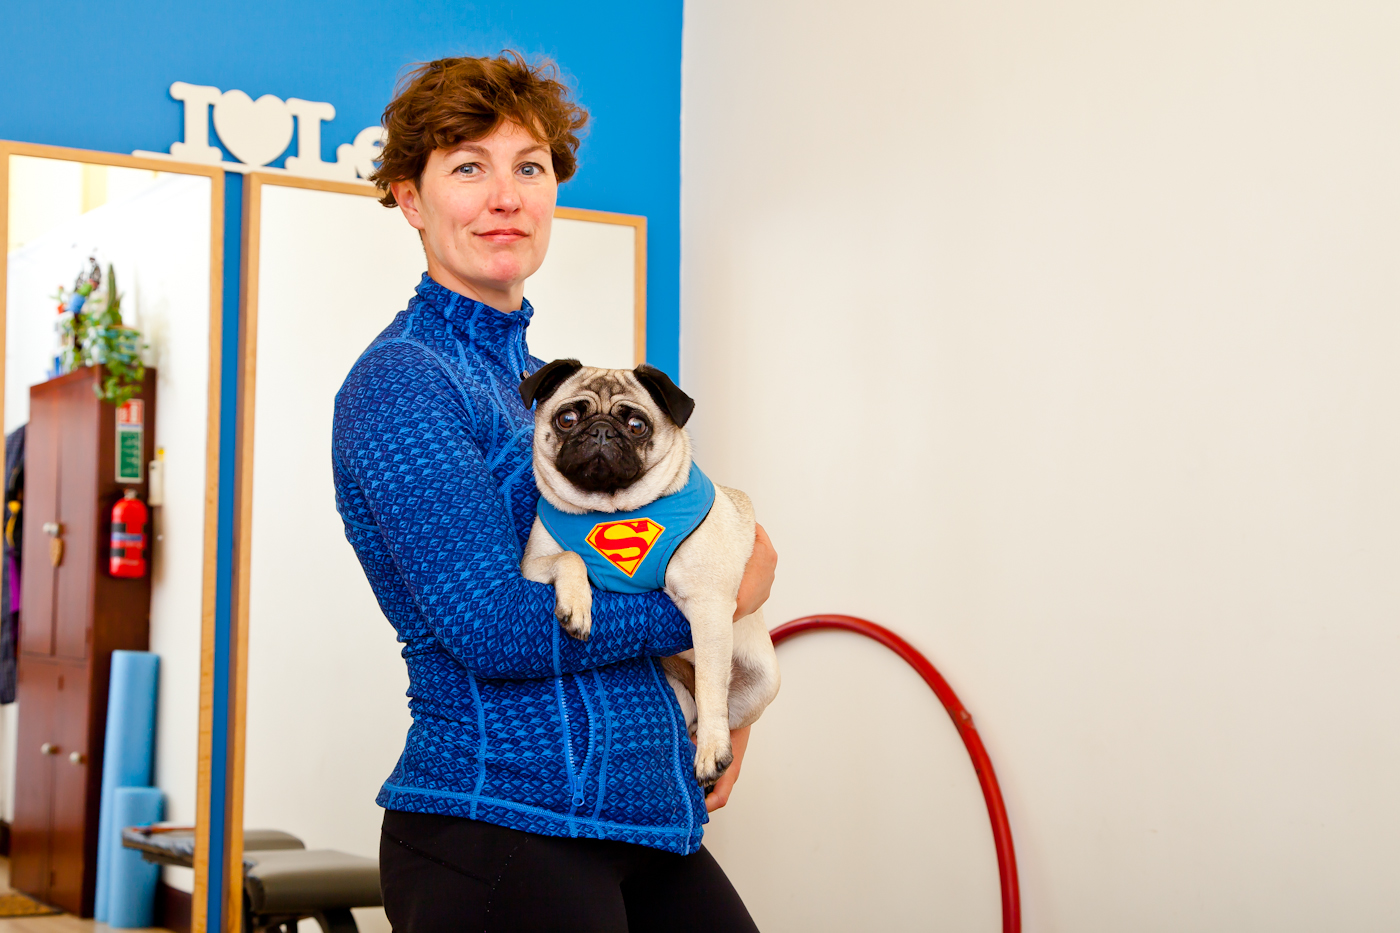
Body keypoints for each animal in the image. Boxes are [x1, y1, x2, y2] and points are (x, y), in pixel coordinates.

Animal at [520, 358, 784, 778]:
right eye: (567, 418)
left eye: (636, 425)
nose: (601, 430)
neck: (609, 510)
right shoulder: (531, 566)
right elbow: (571, 556)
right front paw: (578, 604)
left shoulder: (709, 608)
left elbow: (711, 689)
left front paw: (712, 750)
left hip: (763, 682)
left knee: (715, 702)